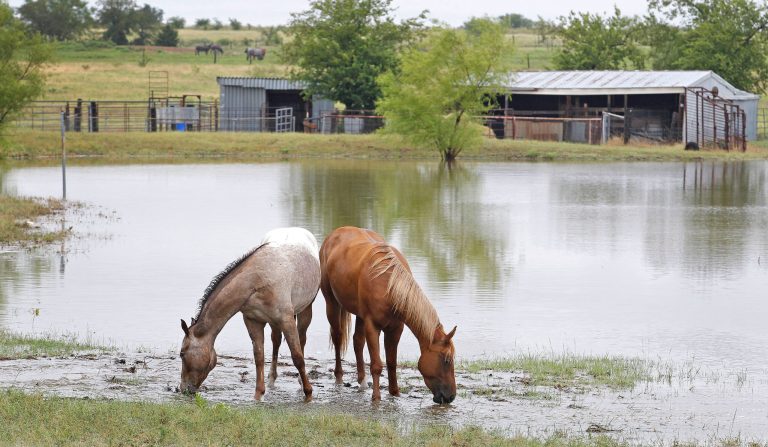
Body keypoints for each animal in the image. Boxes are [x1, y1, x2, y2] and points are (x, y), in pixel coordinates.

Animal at [179, 227, 321, 401]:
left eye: (182, 354)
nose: (182, 389)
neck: (257, 280)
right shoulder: (253, 320)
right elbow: (259, 357)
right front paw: (258, 394)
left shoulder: (286, 320)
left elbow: (297, 357)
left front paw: (308, 393)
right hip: (274, 322)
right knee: (276, 341)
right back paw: (272, 378)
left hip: (305, 310)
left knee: (301, 340)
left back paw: (301, 383)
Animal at [319, 226, 457, 404]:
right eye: (446, 360)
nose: (451, 397)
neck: (389, 284)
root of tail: (335, 233)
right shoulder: (372, 327)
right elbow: (377, 365)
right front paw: (376, 398)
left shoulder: (396, 328)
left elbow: (392, 362)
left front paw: (395, 393)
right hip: (332, 304)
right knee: (338, 337)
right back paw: (339, 377)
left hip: (359, 315)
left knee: (357, 342)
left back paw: (362, 382)